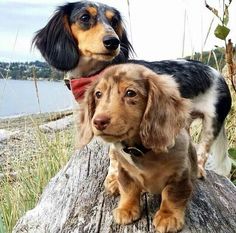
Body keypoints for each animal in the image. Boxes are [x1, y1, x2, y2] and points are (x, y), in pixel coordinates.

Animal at [33, 0, 232, 179]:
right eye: (84, 17)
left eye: (114, 21)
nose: (113, 41)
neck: (94, 73)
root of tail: (219, 74)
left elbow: (114, 156)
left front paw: (113, 179)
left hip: (212, 122)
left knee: (203, 151)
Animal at [77, 62, 197, 232]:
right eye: (98, 94)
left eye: (130, 93)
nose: (98, 121)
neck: (141, 150)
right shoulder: (125, 171)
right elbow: (129, 189)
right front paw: (126, 208)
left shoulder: (180, 175)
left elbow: (172, 195)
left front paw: (168, 216)